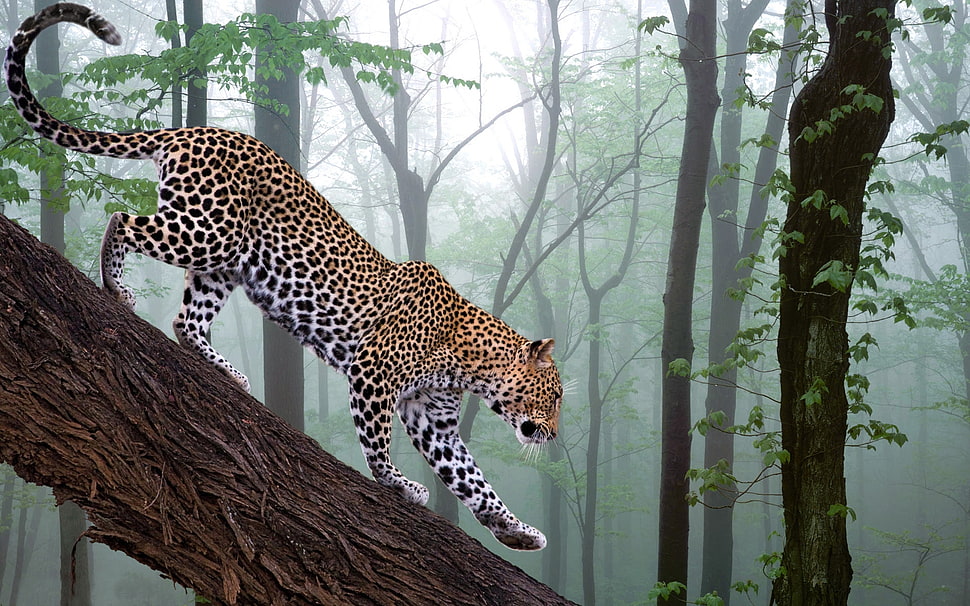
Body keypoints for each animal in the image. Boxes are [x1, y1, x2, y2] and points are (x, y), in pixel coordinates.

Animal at [6, 2, 563, 551]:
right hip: (207, 231)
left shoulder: (435, 421)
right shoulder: (373, 374)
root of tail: (195, 130)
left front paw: (517, 531)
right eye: (554, 396)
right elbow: (377, 443)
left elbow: (473, 481)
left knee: (187, 321)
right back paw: (117, 287)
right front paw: (398, 484)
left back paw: (227, 372)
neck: (470, 362)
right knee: (122, 220)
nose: (554, 435)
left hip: (224, 263)